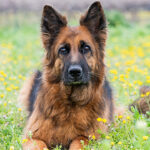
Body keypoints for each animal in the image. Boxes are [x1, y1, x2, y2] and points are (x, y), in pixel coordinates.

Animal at [19, 1, 113, 150]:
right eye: (63, 49)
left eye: (86, 48)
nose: (75, 72)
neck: (71, 103)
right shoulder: (32, 137)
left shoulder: (89, 138)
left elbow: (78, 141)